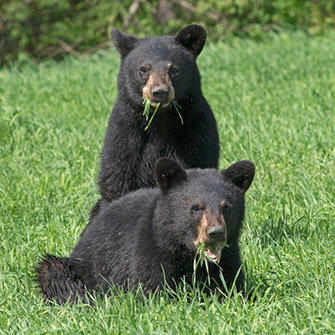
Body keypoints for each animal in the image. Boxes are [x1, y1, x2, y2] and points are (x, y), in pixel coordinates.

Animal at [36, 158, 256, 304]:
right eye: (196, 207)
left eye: (226, 207)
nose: (215, 232)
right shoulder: (149, 251)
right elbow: (152, 289)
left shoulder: (229, 257)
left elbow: (232, 286)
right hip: (77, 268)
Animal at [93, 23, 222, 218]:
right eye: (143, 69)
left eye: (174, 69)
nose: (159, 91)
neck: (160, 119)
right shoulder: (124, 132)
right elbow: (116, 179)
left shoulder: (196, 130)